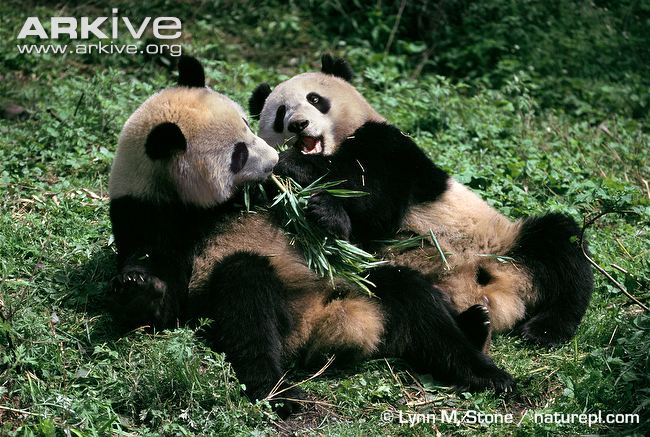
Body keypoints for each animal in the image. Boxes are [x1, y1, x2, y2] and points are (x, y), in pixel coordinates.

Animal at [108, 56, 515, 416]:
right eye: (238, 154)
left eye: (247, 124)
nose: (273, 159)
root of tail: (328, 319)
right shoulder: (148, 215)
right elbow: (167, 298)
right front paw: (139, 286)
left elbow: (366, 209)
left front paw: (315, 201)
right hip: (273, 305)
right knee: (246, 300)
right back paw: (277, 390)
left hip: (362, 282)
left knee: (413, 302)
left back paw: (482, 363)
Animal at [249, 54, 594, 347]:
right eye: (280, 114)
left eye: (315, 99)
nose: (298, 125)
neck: (338, 145)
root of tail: (500, 296)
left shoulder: (390, 146)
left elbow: (378, 200)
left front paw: (305, 178)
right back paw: (472, 325)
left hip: (504, 243)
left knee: (561, 247)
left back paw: (544, 329)